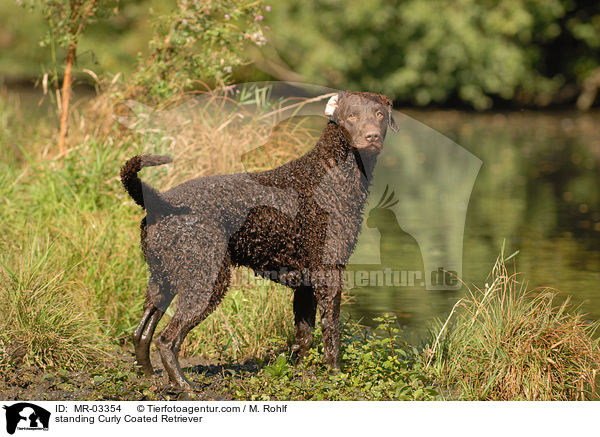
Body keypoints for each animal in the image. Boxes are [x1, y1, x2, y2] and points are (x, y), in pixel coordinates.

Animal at [119, 90, 396, 386]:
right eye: (352, 115)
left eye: (379, 114)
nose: (372, 136)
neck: (329, 174)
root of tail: (160, 203)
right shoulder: (328, 272)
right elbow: (331, 332)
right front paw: (335, 374)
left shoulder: (305, 283)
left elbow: (304, 338)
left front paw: (295, 373)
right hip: (206, 280)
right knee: (166, 340)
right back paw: (185, 386)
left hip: (164, 277)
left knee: (142, 332)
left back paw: (149, 376)